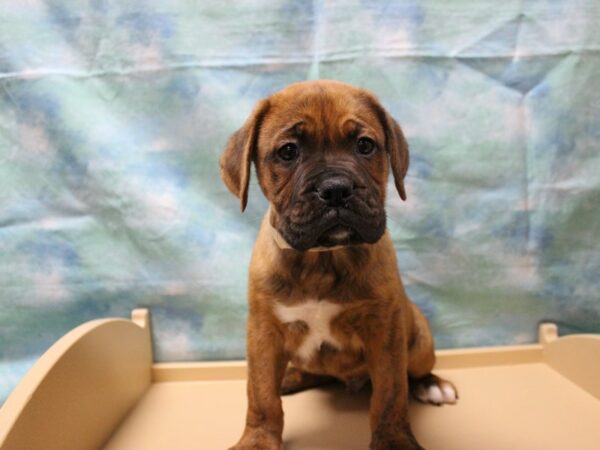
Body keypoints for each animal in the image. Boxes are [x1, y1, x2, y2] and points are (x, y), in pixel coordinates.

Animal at [221, 79, 460, 448]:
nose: (335, 189)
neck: (322, 259)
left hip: (420, 338)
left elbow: (390, 394)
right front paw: (258, 439)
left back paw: (431, 385)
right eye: (288, 152)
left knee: (414, 372)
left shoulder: (384, 330)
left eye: (365, 145)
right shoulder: (263, 332)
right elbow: (260, 394)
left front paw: (393, 440)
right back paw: (290, 376)